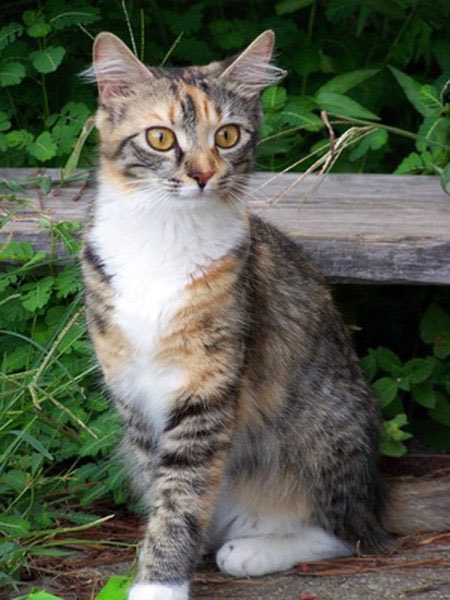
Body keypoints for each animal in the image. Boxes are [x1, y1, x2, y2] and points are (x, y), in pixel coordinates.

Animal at [81, 30, 446, 600]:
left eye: (227, 135)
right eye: (161, 139)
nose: (203, 174)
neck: (164, 237)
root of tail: (377, 490)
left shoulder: (207, 388)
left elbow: (180, 499)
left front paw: (159, 584)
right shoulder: (133, 396)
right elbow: (165, 491)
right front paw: (165, 559)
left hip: (319, 434)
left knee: (353, 537)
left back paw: (252, 551)